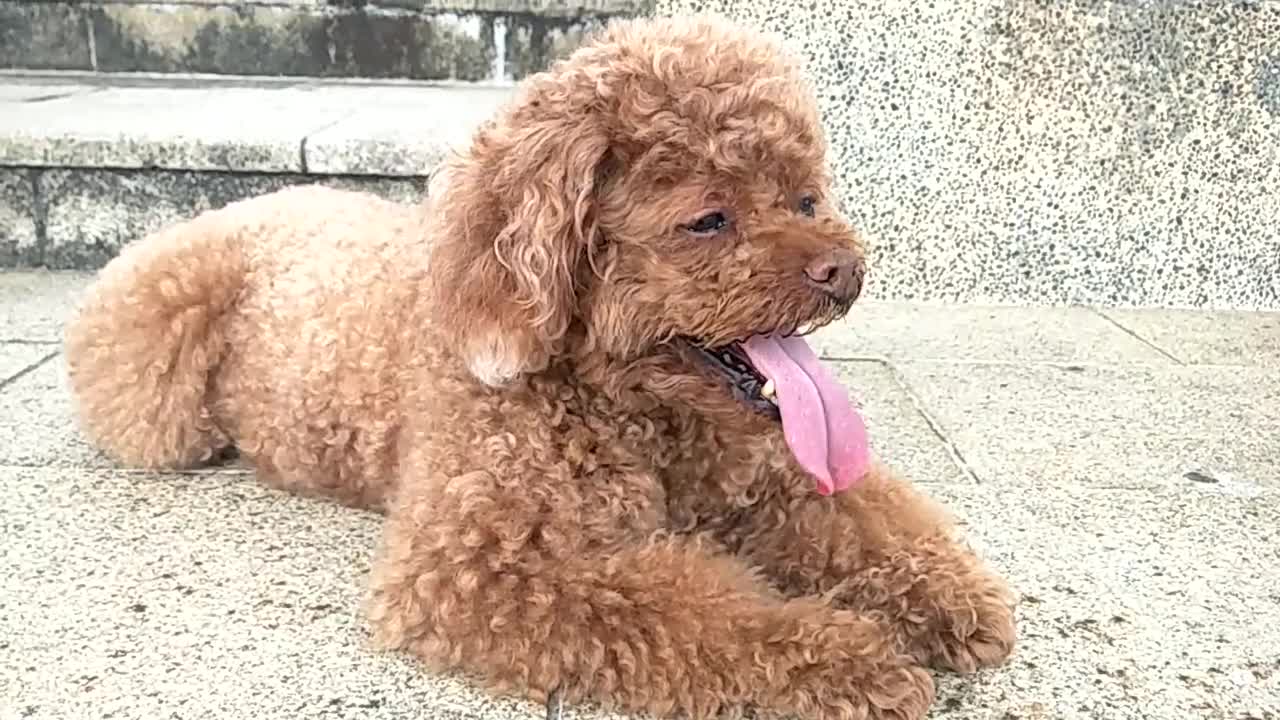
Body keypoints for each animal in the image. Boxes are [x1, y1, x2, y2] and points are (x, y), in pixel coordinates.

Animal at [64, 15, 1013, 717]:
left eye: (806, 196)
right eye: (708, 220)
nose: (843, 269)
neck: (634, 411)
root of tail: (247, 205)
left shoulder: (767, 473)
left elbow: (862, 515)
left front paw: (944, 595)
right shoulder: (476, 565)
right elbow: (692, 611)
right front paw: (852, 663)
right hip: (159, 401)